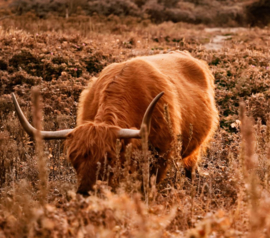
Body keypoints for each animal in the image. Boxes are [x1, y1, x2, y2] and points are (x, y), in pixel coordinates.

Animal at [12, 50, 219, 195]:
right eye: (74, 159)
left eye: (109, 159)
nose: (85, 193)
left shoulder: (161, 159)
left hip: (194, 150)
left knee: (190, 170)